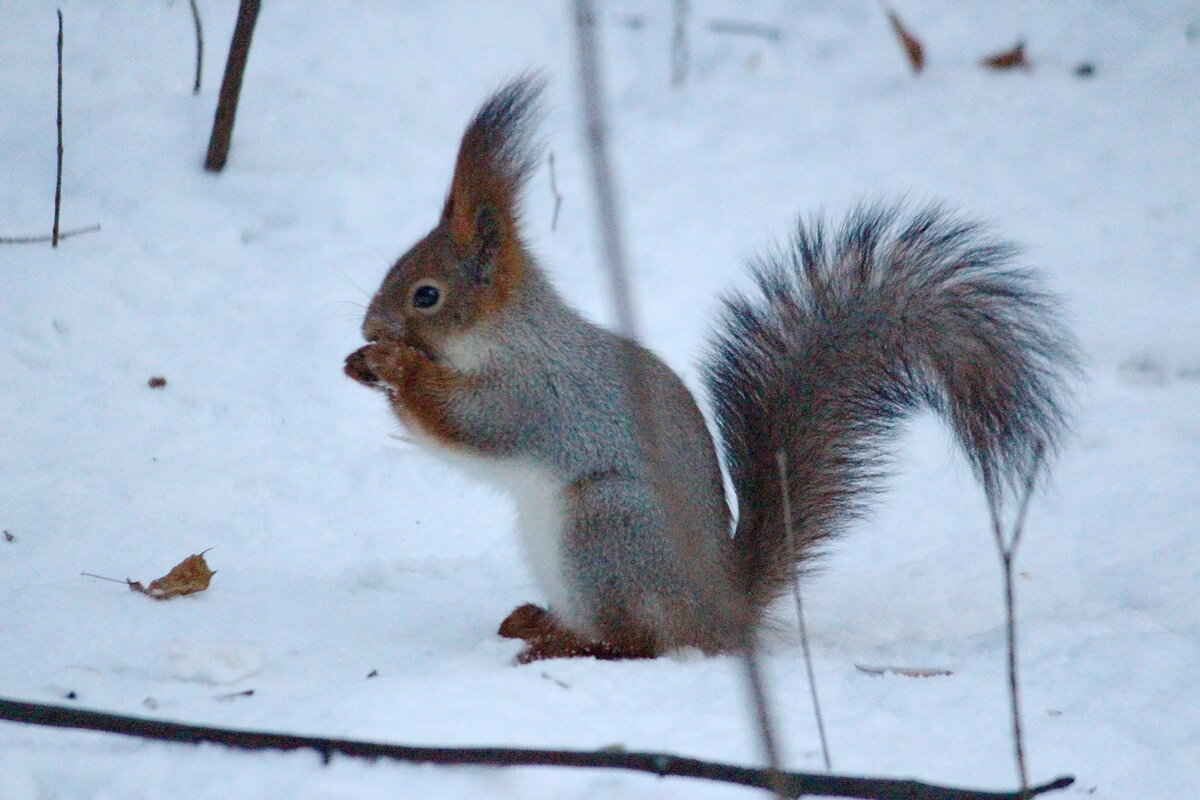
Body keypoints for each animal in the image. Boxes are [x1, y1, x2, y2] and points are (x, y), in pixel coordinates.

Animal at [345, 76, 1080, 662]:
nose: (367, 327)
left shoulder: (537, 390)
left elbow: (469, 422)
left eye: (426, 295)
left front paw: (392, 364)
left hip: (606, 529)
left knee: (633, 641)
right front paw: (363, 363)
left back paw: (563, 644)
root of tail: (720, 613)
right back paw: (535, 620)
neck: (504, 333)